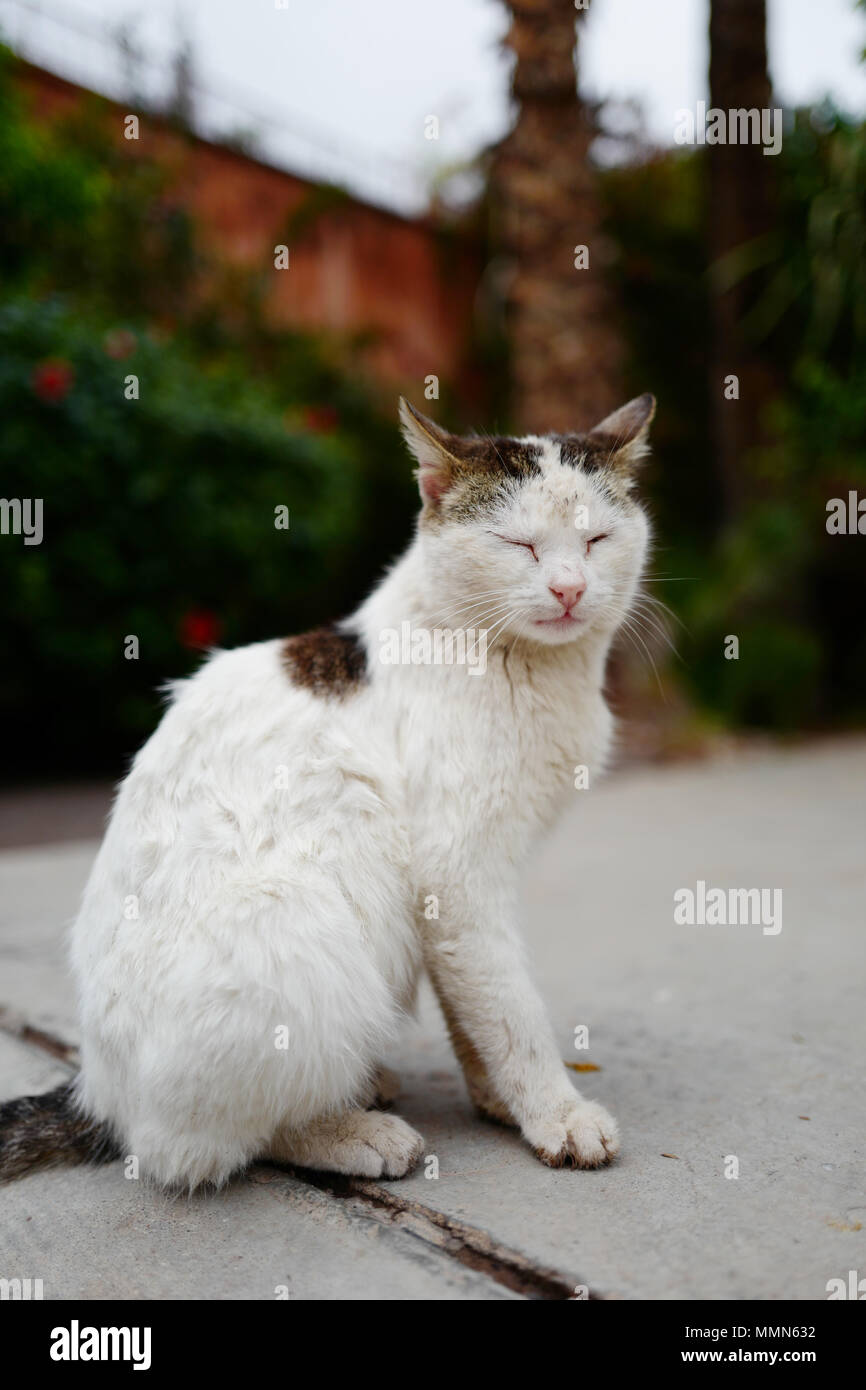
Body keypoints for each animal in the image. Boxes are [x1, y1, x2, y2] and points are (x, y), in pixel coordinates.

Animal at [0, 394, 653, 1195]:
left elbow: (471, 1009)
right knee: (194, 1146)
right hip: (296, 922)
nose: (569, 589)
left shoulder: (447, 900)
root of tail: (97, 1088)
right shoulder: (459, 874)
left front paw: (499, 1101)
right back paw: (350, 1131)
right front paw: (553, 1111)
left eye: (596, 539)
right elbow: (509, 1008)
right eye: (520, 544)